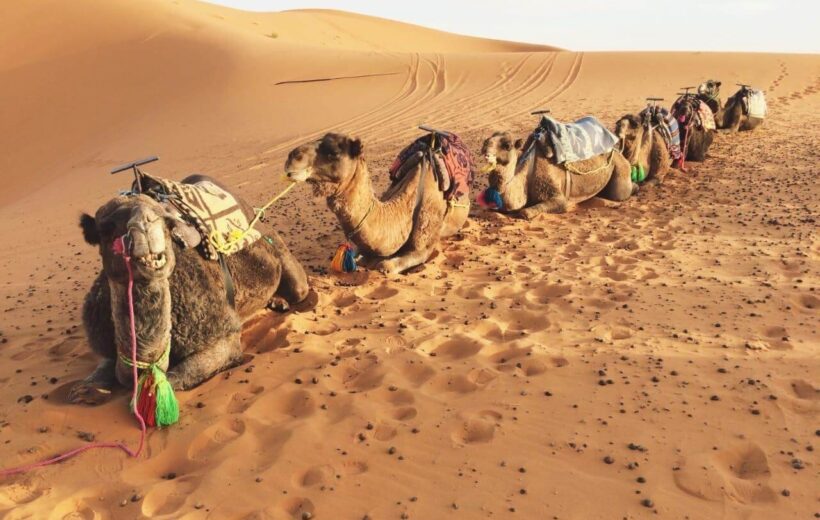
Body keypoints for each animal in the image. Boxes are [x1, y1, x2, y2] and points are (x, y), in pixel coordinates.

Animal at [71, 175, 310, 405]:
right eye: (105, 229)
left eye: (167, 222)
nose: (145, 224)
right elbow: (100, 374)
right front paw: (87, 390)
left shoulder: (223, 336)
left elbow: (171, 378)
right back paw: (277, 302)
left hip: (279, 250)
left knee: (299, 287)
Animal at [479, 130, 636, 218]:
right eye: (488, 139)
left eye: (507, 145)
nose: (485, 146)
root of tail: (617, 150)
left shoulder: (556, 194)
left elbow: (525, 213)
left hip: (619, 166)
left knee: (620, 193)